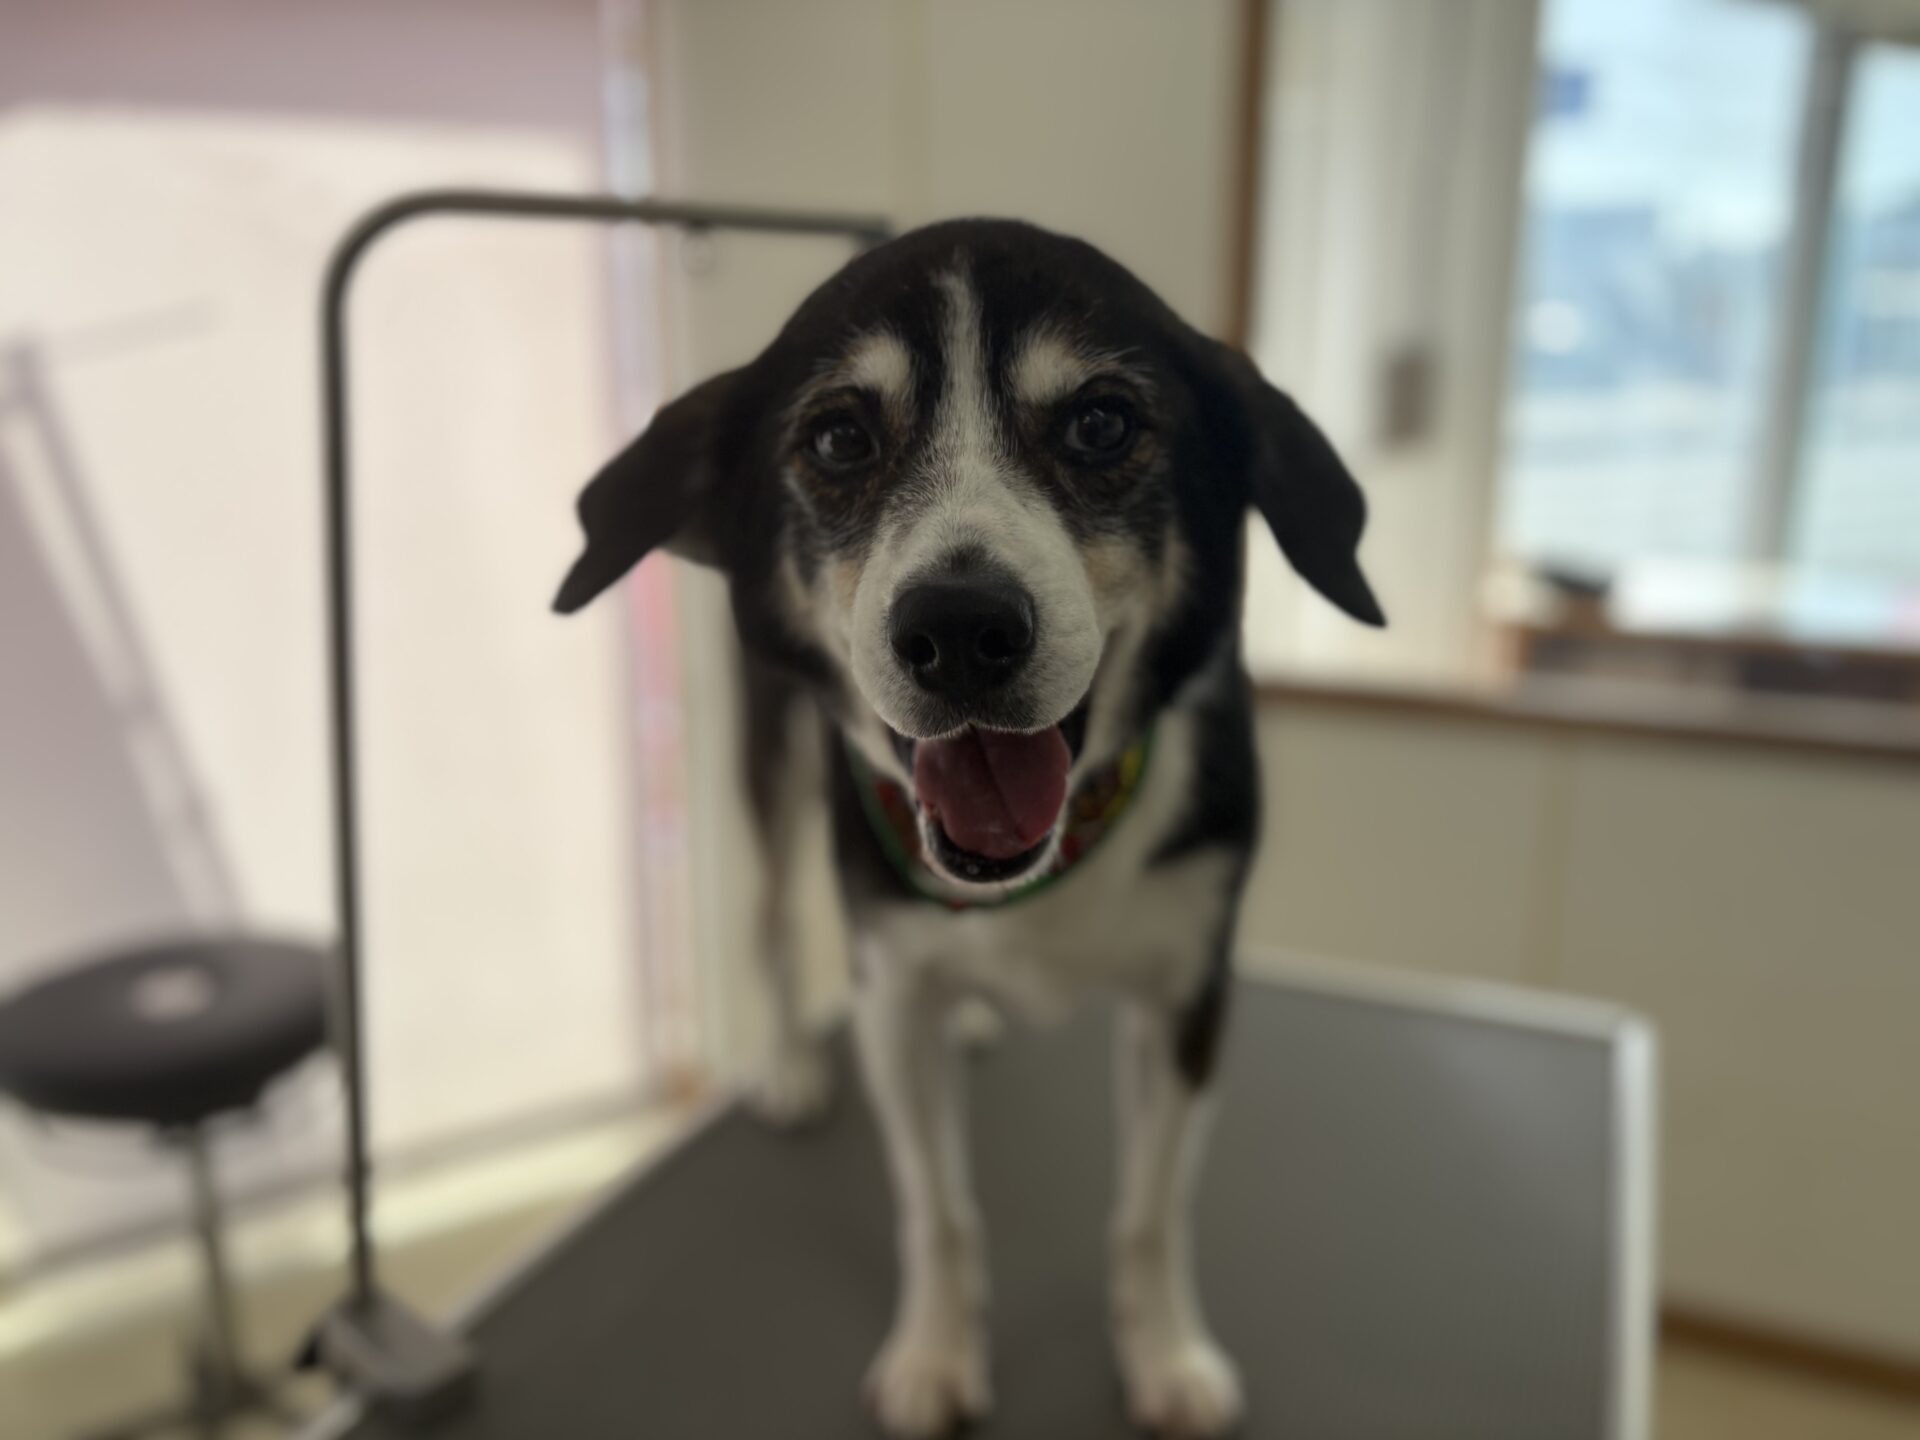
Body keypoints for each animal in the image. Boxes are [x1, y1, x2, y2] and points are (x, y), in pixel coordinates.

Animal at [555, 219, 1382, 1438]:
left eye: (1101, 422)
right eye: (839, 437)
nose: (957, 629)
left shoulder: (1187, 995)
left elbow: (1151, 1211)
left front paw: (1164, 1354)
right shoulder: (892, 998)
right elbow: (938, 1205)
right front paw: (937, 1356)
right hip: (773, 774)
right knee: (768, 920)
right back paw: (791, 1065)